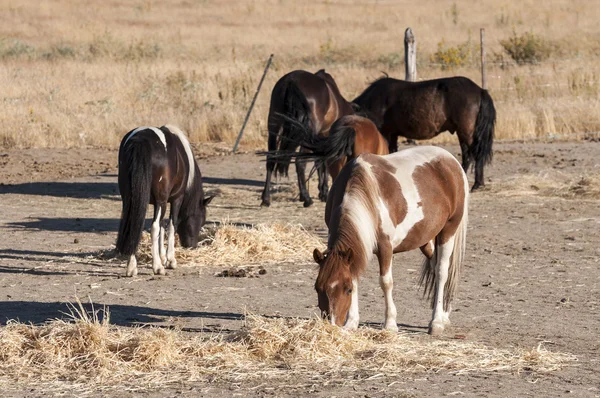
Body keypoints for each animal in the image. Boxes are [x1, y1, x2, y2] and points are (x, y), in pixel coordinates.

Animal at [115, 124, 213, 276]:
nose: (191, 246)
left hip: (130, 199)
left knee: (134, 225)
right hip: (160, 201)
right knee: (154, 227)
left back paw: (131, 268)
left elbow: (161, 226)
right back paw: (157, 267)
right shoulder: (175, 199)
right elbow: (171, 225)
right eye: (202, 221)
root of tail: (140, 140)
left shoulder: (158, 203)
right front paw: (169, 260)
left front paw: (162, 257)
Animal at [260, 67, 354, 208]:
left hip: (274, 126)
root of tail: (291, 81)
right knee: (300, 162)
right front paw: (324, 192)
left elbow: (319, 161)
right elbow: (323, 161)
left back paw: (266, 199)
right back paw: (307, 199)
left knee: (271, 159)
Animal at [312, 146, 472, 336]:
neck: (365, 194)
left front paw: (390, 323)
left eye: (347, 289)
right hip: (425, 240)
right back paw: (444, 314)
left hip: (448, 231)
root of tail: (451, 161)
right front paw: (351, 323)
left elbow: (386, 282)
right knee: (435, 268)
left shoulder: (385, 247)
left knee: (442, 271)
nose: (332, 324)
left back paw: (437, 322)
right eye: (318, 288)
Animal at [352, 76, 496, 193]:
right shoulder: (392, 135)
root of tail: (480, 90)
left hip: (466, 133)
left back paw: (475, 184)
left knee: (473, 155)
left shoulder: (386, 133)